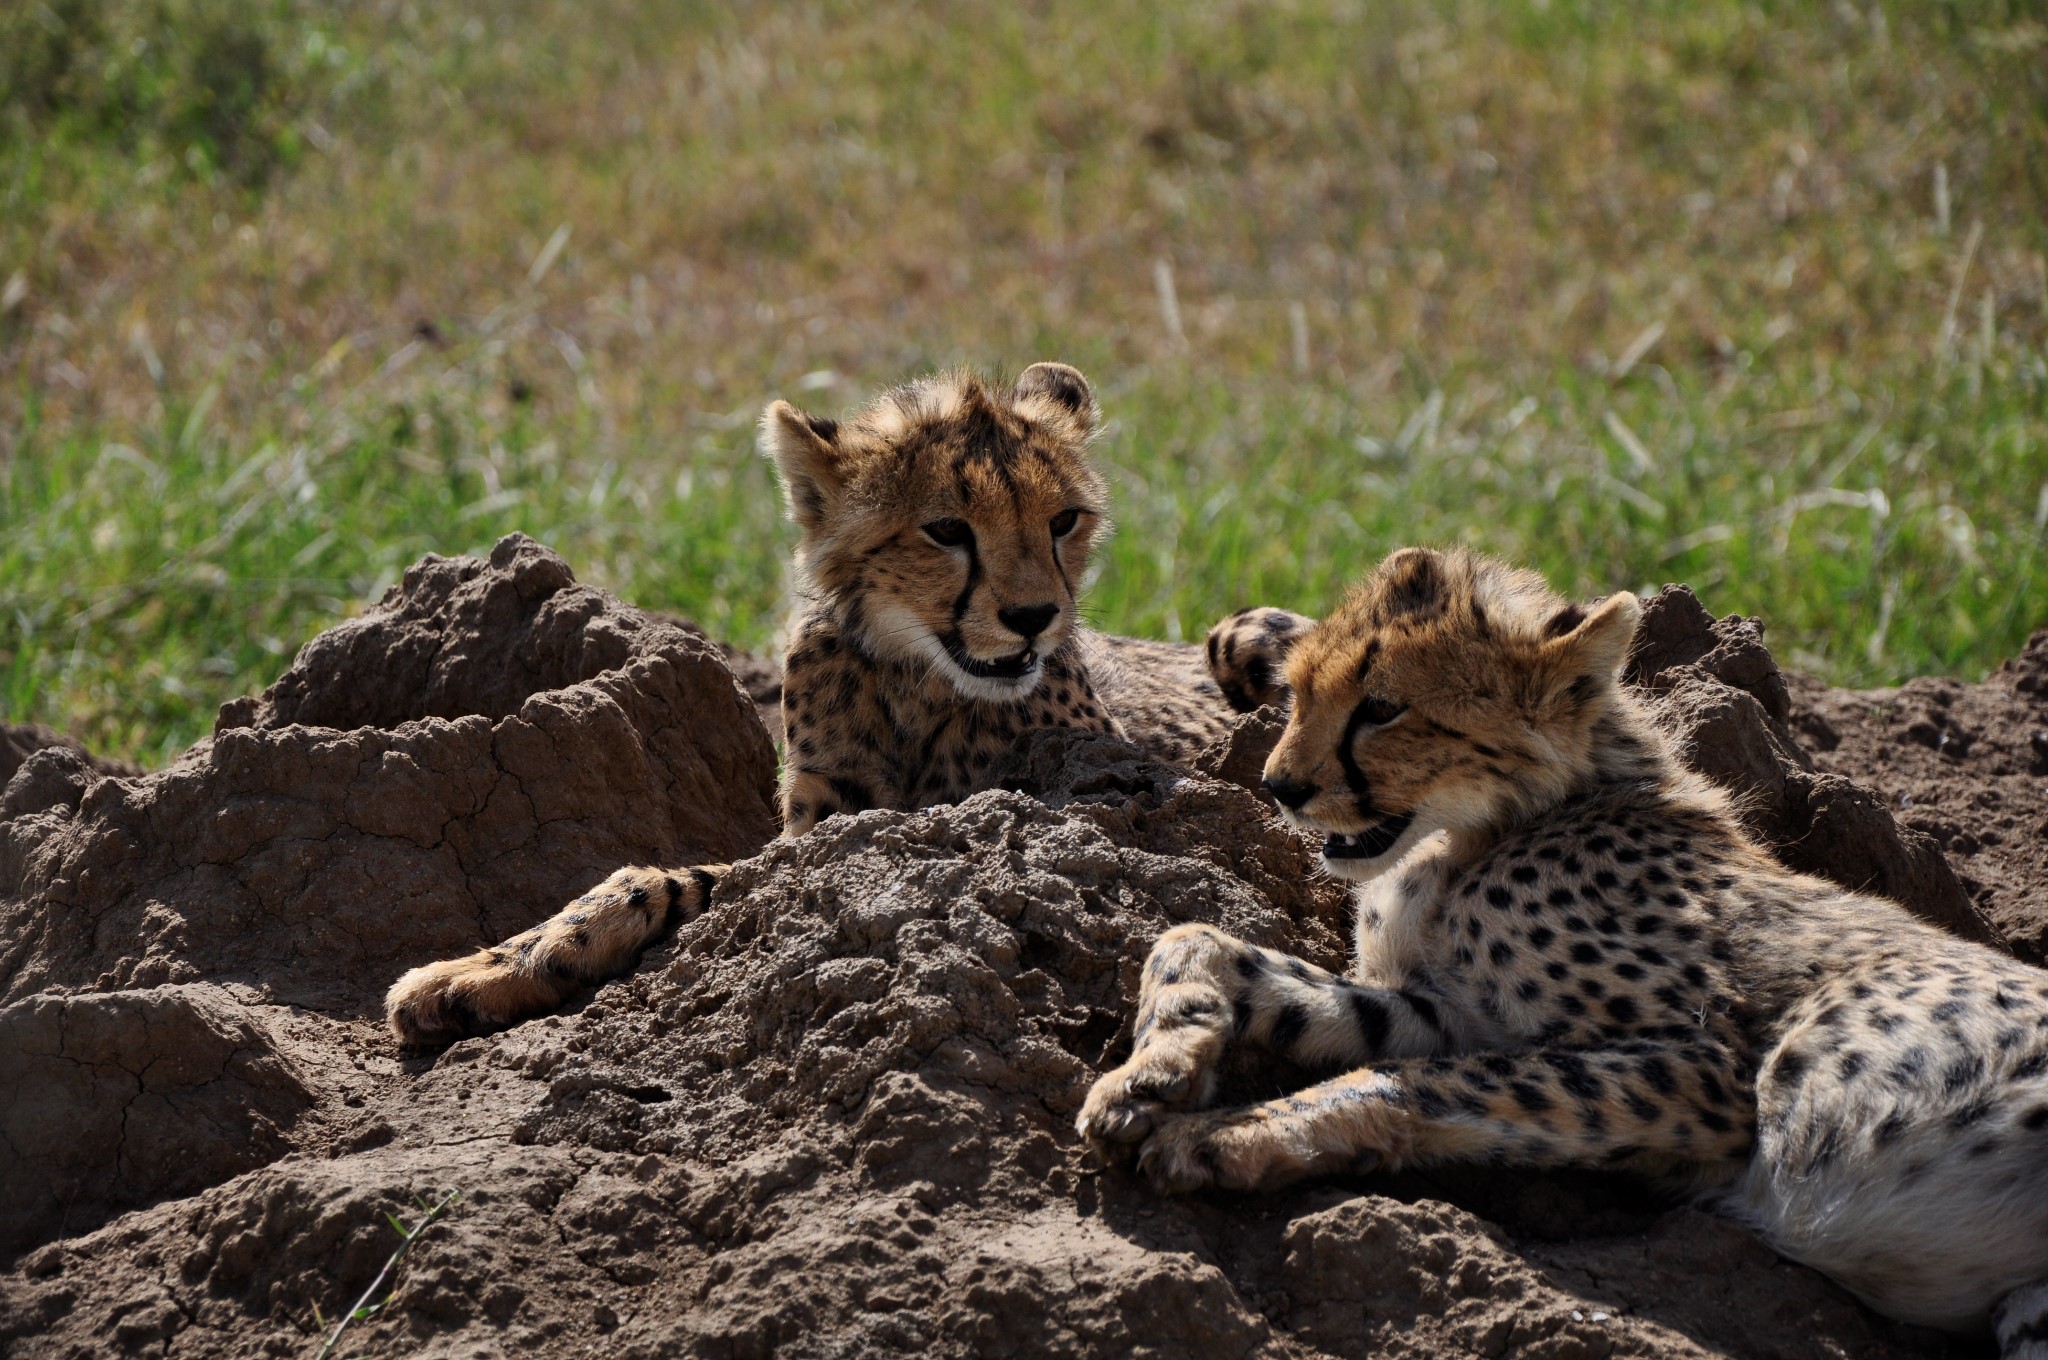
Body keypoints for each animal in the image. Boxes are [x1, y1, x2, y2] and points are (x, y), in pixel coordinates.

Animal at [389, 358, 1236, 1040]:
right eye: (946, 530)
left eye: (1064, 520)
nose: (1034, 617)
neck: (920, 680)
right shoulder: (813, 842)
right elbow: (652, 880)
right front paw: (491, 966)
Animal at [1073, 548, 2048, 1343]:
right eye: (1301, 690)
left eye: (1381, 709)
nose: (1278, 786)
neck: (1484, 828)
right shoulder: (1439, 1007)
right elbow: (1196, 938)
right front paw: (1153, 1070)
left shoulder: (1715, 1070)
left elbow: (1418, 1082)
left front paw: (1222, 1132)